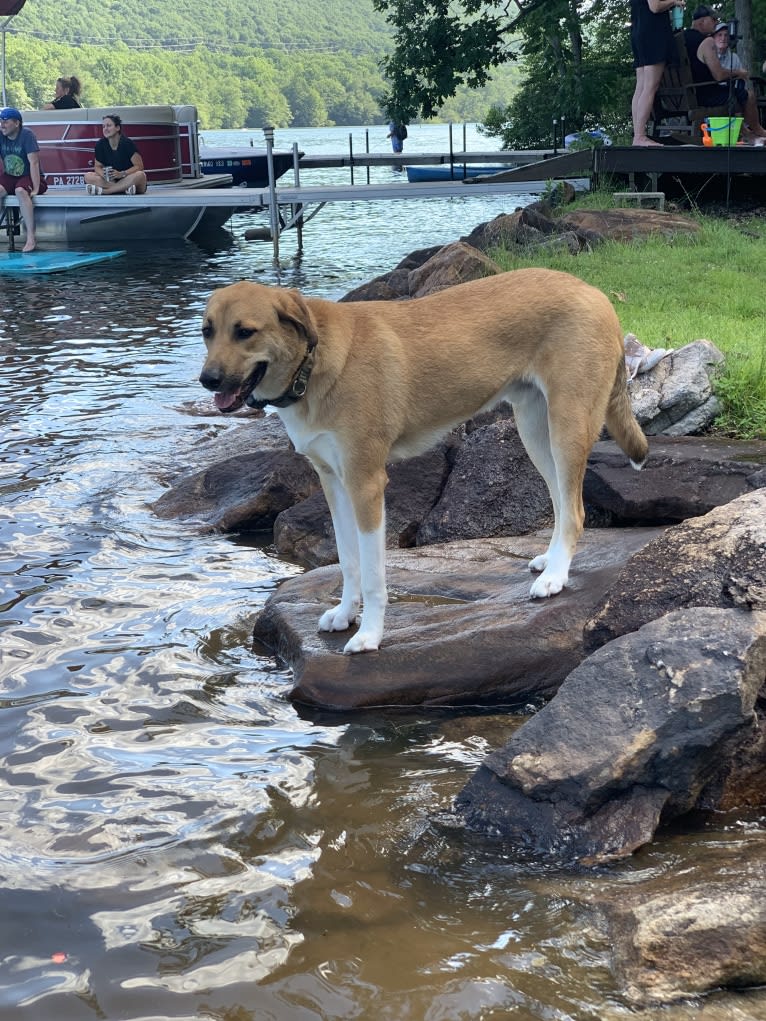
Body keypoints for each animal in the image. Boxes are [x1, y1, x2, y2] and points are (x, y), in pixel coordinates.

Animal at [201, 271, 649, 653]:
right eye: (207, 331)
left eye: (245, 331)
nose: (208, 379)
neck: (312, 364)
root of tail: (593, 291)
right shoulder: (333, 482)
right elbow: (348, 560)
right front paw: (345, 614)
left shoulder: (366, 483)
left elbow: (374, 575)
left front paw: (370, 635)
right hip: (536, 431)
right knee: (559, 501)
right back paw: (551, 561)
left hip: (567, 427)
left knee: (575, 510)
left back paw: (556, 577)